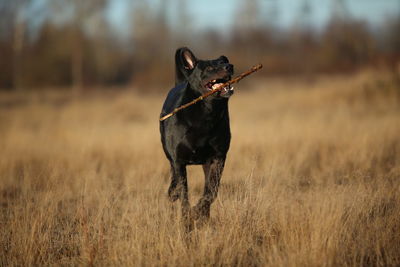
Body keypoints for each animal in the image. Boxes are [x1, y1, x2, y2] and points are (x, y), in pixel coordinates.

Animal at [159, 47, 234, 229]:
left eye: (225, 62)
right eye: (209, 68)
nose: (230, 67)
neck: (207, 113)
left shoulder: (218, 158)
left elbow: (211, 191)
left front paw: (199, 212)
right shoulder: (179, 161)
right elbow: (184, 192)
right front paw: (187, 218)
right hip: (170, 155)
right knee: (174, 177)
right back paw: (172, 193)